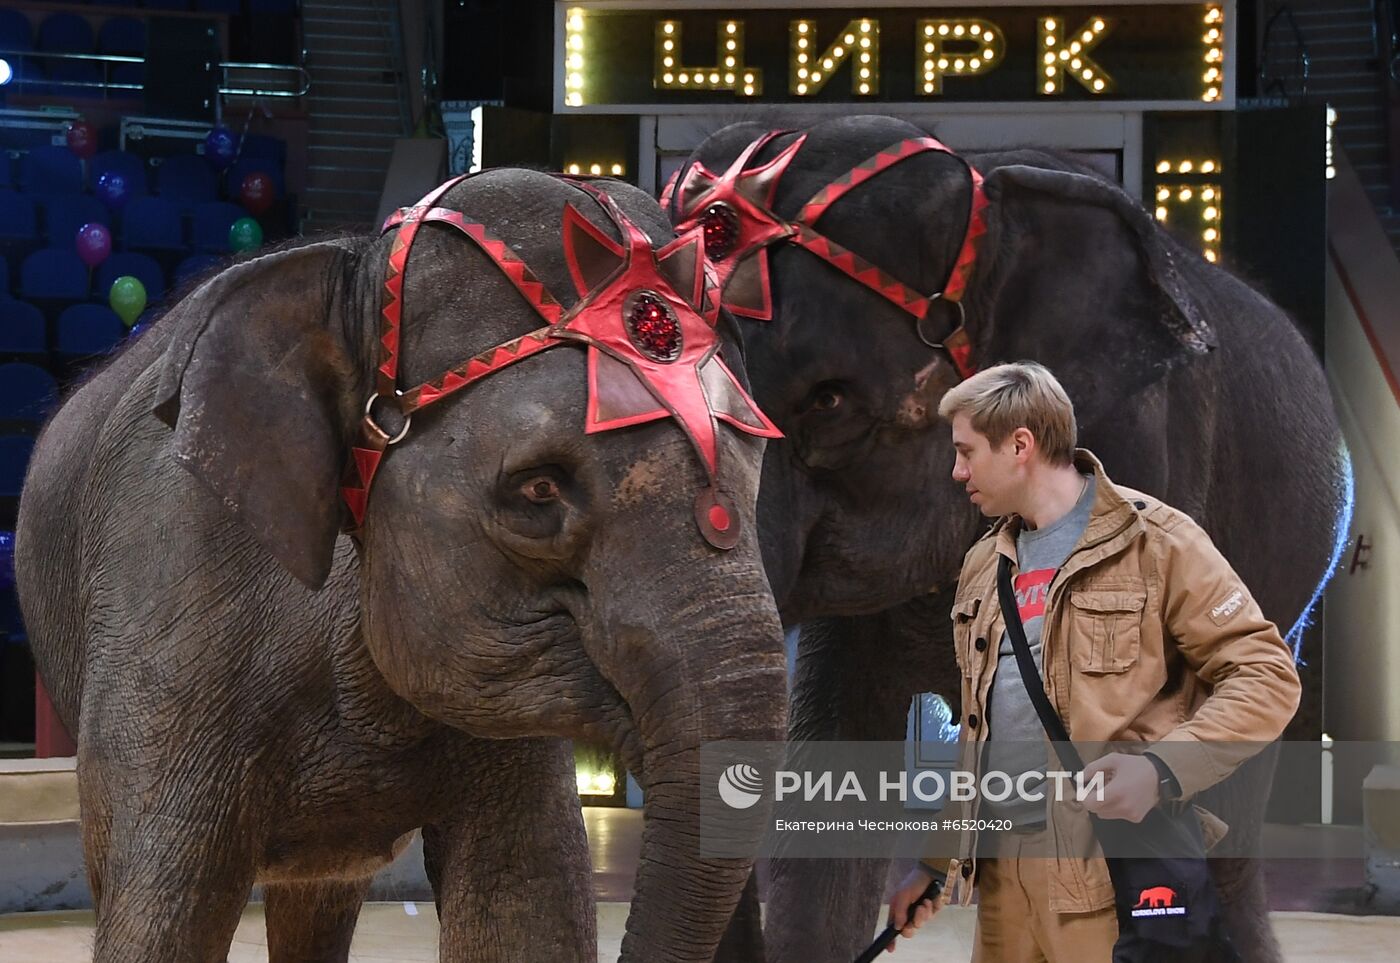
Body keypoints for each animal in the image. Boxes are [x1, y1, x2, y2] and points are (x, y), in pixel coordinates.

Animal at [19, 171, 789, 963]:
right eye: (539, 490)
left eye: (755, 458)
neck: (353, 279)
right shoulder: (172, 603)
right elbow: (159, 922)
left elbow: (524, 911)